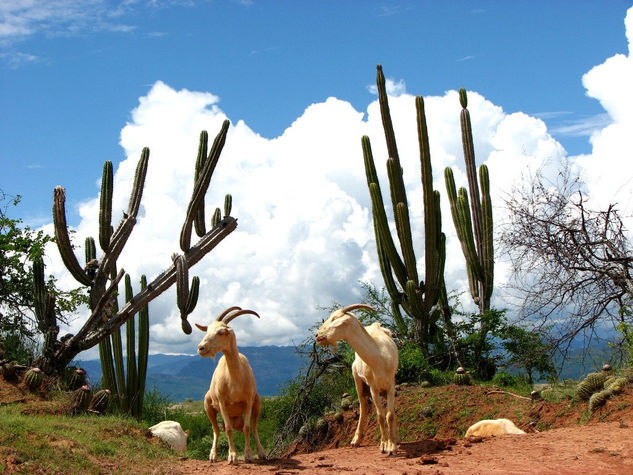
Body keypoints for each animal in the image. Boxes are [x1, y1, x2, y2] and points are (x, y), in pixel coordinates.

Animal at [195, 304, 264, 464]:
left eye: (221, 332)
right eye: (207, 330)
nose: (201, 348)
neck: (235, 379)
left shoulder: (248, 401)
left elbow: (247, 428)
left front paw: (248, 455)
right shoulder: (222, 402)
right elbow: (227, 429)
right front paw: (232, 456)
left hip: (257, 403)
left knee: (253, 428)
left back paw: (262, 452)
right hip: (208, 406)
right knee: (217, 429)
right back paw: (213, 455)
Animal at [316, 304, 400, 458]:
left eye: (334, 318)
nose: (317, 335)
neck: (378, 356)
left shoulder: (391, 384)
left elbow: (390, 415)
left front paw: (392, 446)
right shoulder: (373, 388)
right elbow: (380, 416)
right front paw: (384, 445)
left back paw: (395, 438)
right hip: (358, 380)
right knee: (363, 407)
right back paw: (356, 440)